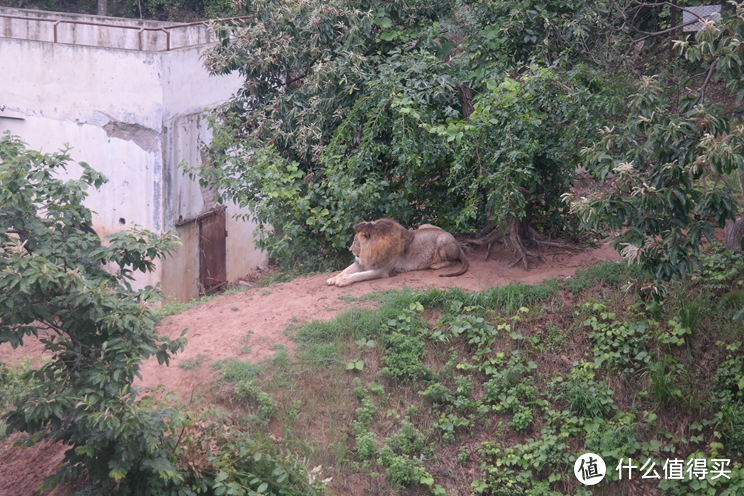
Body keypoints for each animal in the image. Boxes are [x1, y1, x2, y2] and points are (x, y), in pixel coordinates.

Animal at [326, 218, 468, 286]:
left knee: (452, 262)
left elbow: (358, 275)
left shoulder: (381, 270)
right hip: (424, 225)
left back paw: (435, 265)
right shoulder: (361, 262)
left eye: (355, 241)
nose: (350, 250)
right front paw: (333, 279)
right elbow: (345, 270)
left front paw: (342, 281)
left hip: (442, 239)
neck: (371, 252)